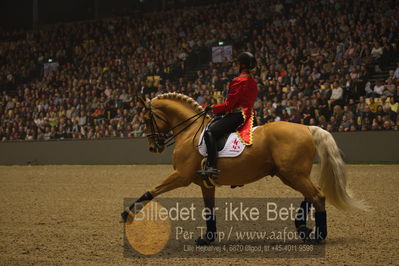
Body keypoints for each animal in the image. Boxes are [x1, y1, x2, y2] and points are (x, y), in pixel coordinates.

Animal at [120, 93, 368, 245]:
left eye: (146, 118)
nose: (153, 147)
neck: (190, 131)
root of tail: (307, 127)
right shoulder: (205, 183)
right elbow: (209, 210)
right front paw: (208, 238)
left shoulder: (181, 176)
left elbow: (152, 191)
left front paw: (127, 214)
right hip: (291, 174)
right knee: (312, 195)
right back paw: (303, 228)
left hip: (293, 174)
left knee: (317, 195)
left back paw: (317, 235)